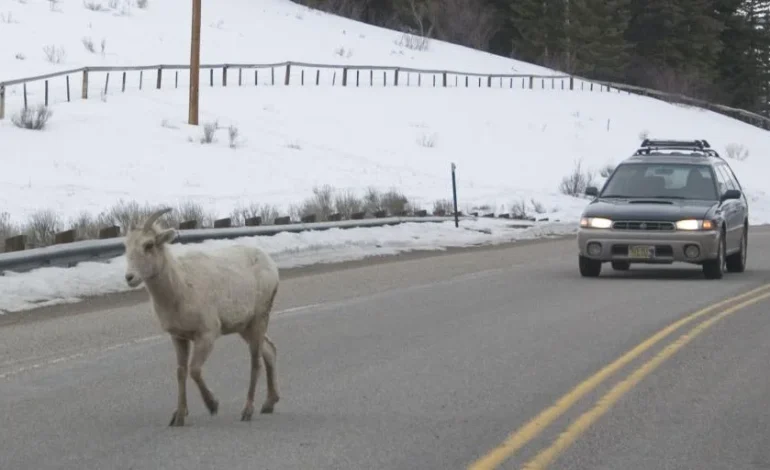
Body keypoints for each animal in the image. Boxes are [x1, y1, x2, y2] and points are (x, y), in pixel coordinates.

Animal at [124, 208, 280, 426]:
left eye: (149, 245)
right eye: (126, 246)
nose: (129, 277)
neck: (180, 288)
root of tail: (271, 264)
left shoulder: (207, 335)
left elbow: (194, 370)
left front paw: (213, 405)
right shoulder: (178, 337)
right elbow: (181, 371)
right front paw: (179, 417)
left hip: (259, 319)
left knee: (255, 361)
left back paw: (247, 411)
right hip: (245, 327)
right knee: (269, 351)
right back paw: (268, 404)